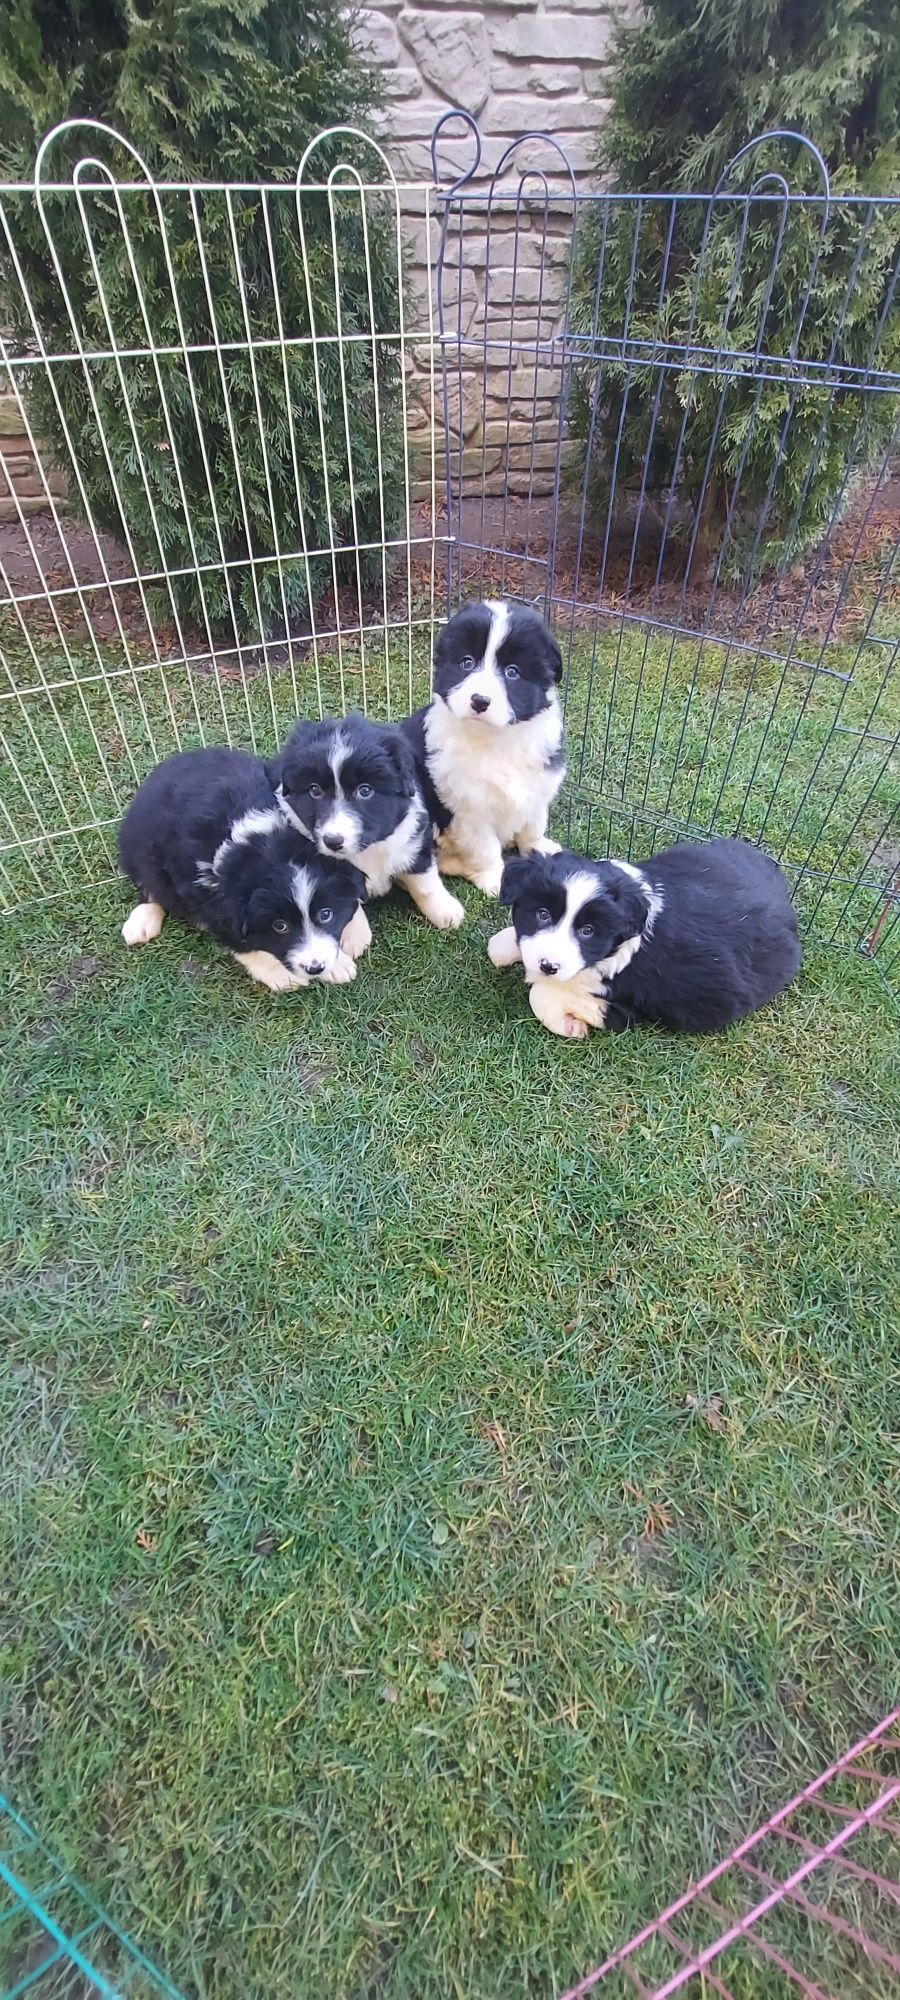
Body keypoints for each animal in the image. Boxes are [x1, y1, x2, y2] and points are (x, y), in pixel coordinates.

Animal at [119, 744, 370, 992]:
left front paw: (350, 938)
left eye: (325, 914)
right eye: (280, 926)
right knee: (149, 885)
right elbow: (243, 942)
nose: (315, 967)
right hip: (140, 850)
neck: (270, 847)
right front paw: (283, 974)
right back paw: (141, 923)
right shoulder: (210, 899)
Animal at [268, 716, 464, 932]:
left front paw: (446, 911)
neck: (367, 849)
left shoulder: (414, 836)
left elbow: (424, 878)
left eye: (365, 791)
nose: (332, 841)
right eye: (314, 790)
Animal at [404, 600, 568, 900]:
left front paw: (539, 849)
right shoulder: (468, 810)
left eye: (512, 672)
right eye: (467, 663)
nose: (479, 700)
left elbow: (533, 826)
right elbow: (485, 848)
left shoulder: (538, 786)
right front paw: (494, 878)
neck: (497, 738)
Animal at [492, 836, 800, 1040]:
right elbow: (499, 945)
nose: (548, 966)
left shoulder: (627, 1005)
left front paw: (570, 1025)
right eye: (542, 914)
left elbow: (539, 993)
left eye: (588, 931)